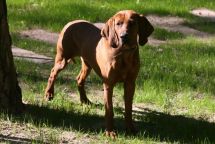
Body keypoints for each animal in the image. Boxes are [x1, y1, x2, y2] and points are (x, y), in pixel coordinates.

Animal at [44, 9, 154, 138]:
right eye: (118, 24)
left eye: (132, 23)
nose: (123, 36)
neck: (124, 54)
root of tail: (71, 22)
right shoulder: (108, 84)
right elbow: (109, 109)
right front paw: (110, 131)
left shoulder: (130, 84)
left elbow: (128, 108)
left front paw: (130, 129)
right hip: (63, 59)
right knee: (53, 73)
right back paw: (49, 94)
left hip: (88, 64)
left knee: (79, 79)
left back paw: (84, 100)